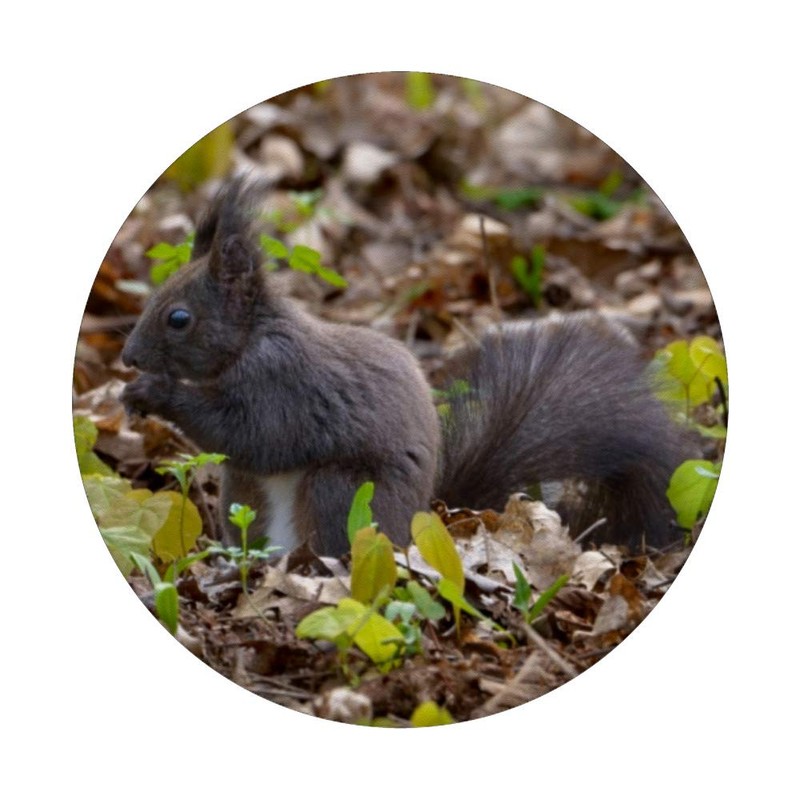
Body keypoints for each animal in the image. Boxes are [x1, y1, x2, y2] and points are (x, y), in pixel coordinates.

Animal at [121, 178, 690, 556]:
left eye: (179, 318)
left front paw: (155, 392)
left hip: (344, 492)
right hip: (245, 494)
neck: (250, 340)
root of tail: (420, 519)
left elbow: (253, 433)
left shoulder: (282, 381)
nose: (128, 358)